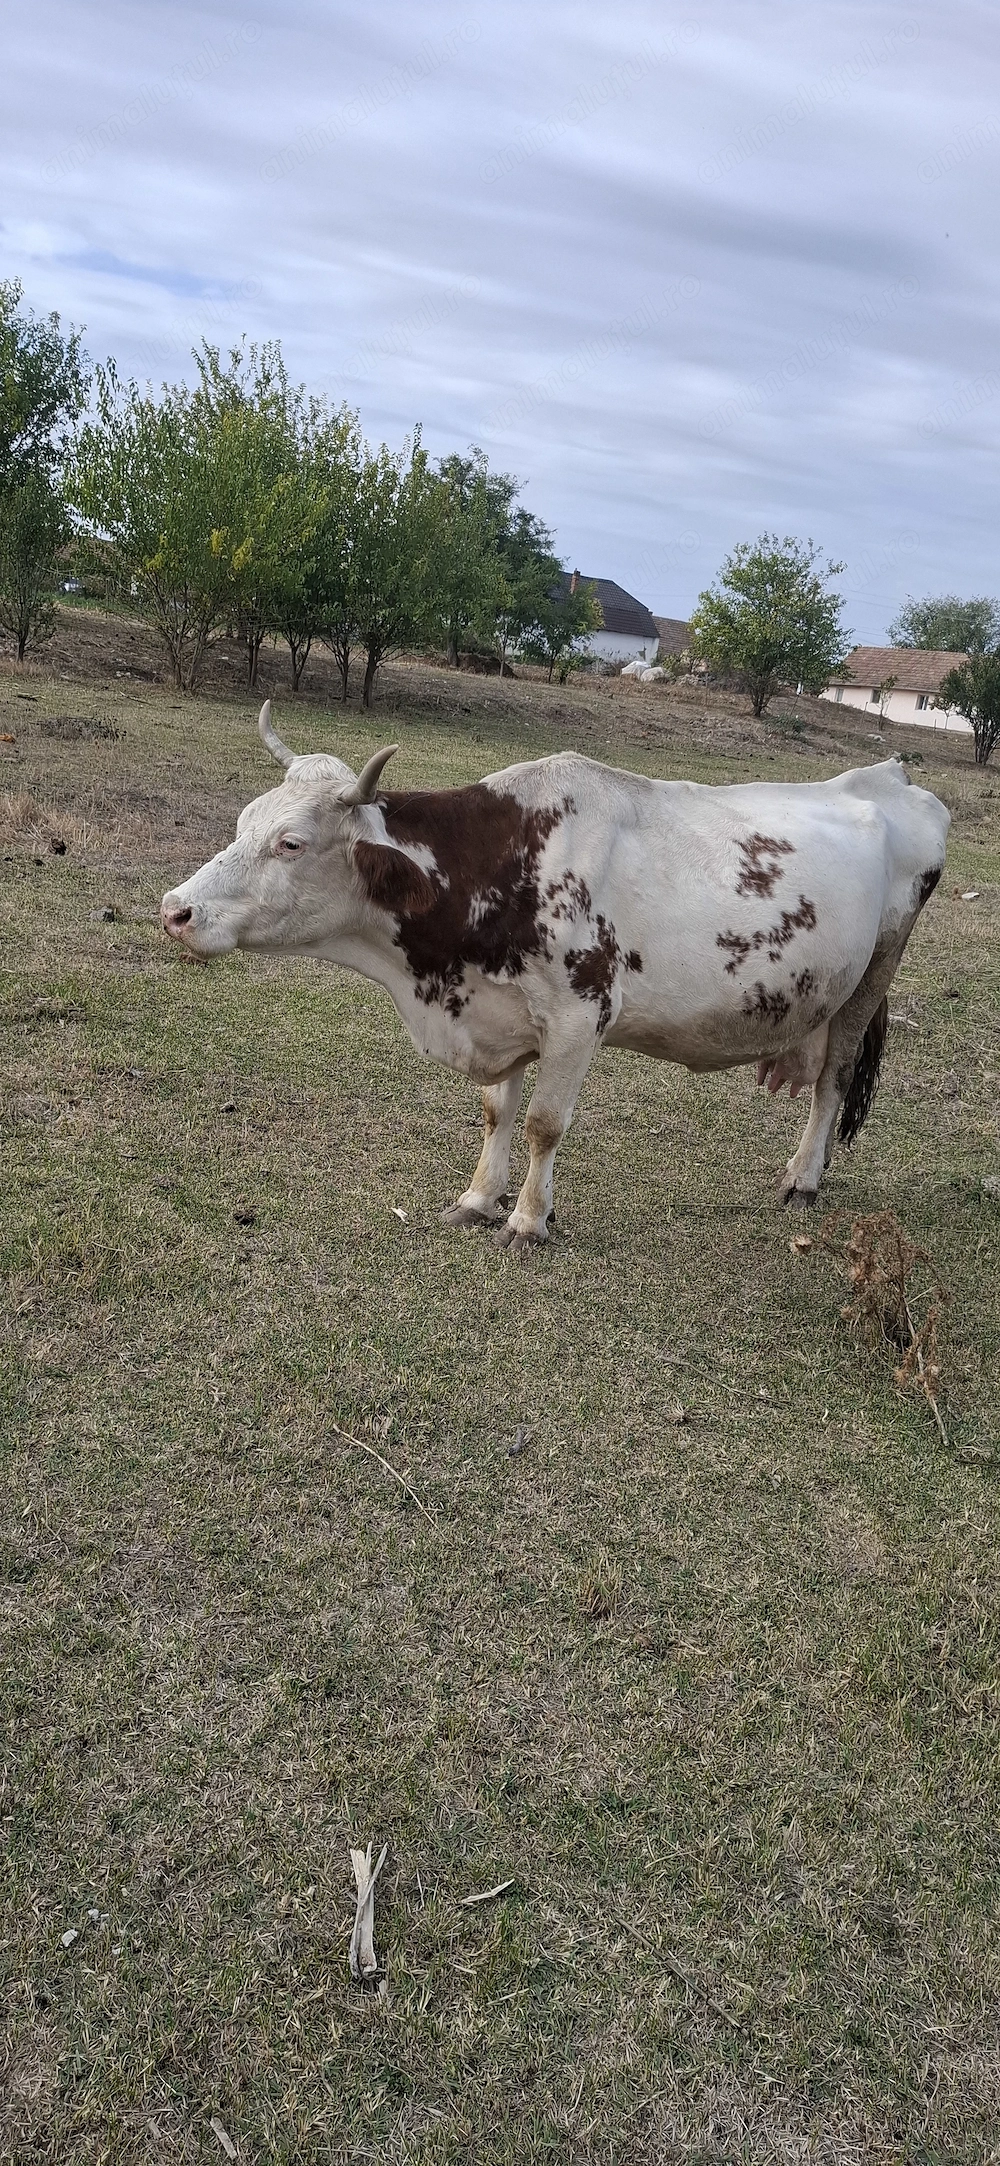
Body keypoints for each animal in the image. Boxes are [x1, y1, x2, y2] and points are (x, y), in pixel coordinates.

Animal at [161, 703, 950, 1253]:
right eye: (244, 821)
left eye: (291, 844)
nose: (175, 910)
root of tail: (889, 778)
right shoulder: (502, 1013)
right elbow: (496, 1112)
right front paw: (479, 1199)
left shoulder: (578, 1018)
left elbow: (543, 1123)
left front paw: (527, 1219)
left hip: (872, 977)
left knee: (833, 1080)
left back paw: (803, 1177)